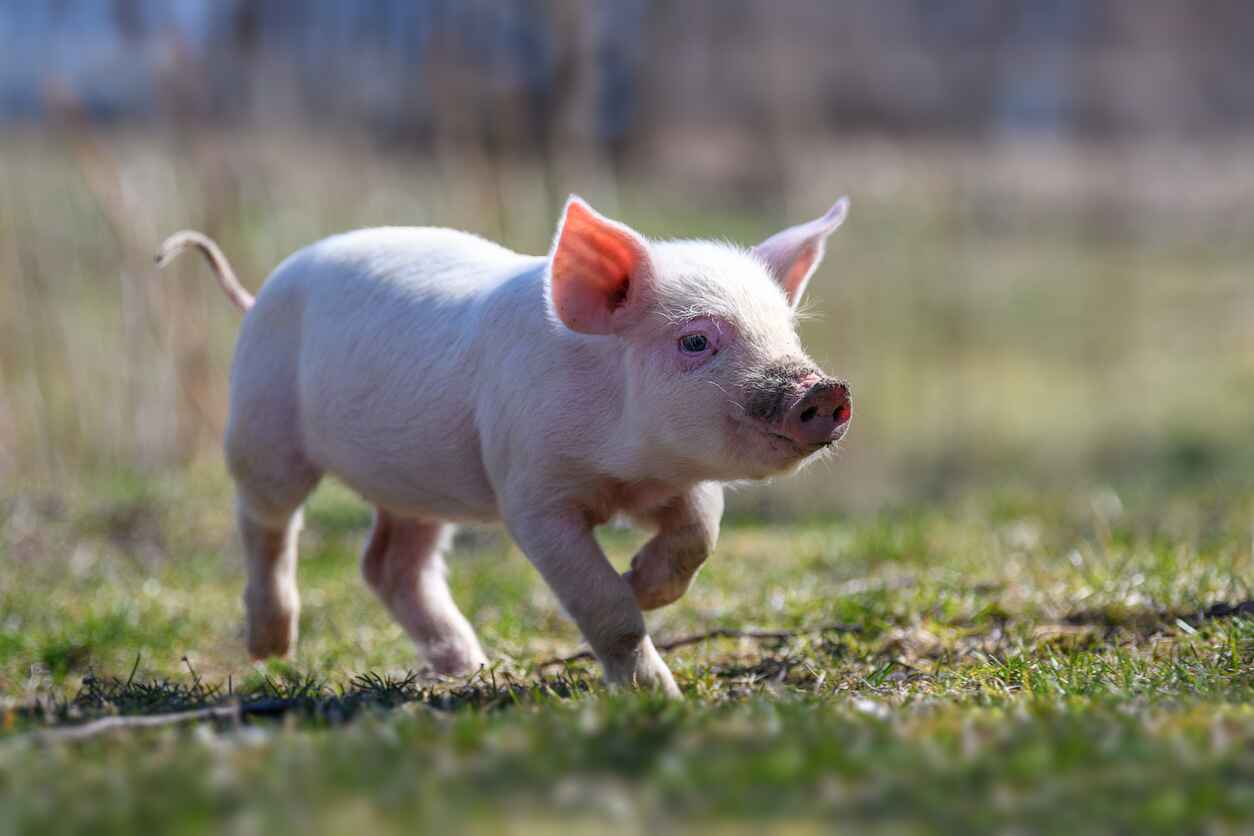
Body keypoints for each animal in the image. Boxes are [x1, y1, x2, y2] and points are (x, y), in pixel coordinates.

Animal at [156, 196, 852, 696]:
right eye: (696, 341)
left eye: (786, 331)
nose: (826, 389)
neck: (628, 467)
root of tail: (257, 296)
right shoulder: (529, 490)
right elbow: (605, 606)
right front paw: (660, 692)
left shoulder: (685, 480)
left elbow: (699, 536)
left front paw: (643, 582)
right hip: (261, 424)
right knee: (265, 520)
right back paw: (271, 647)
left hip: (418, 481)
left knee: (389, 564)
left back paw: (467, 668)